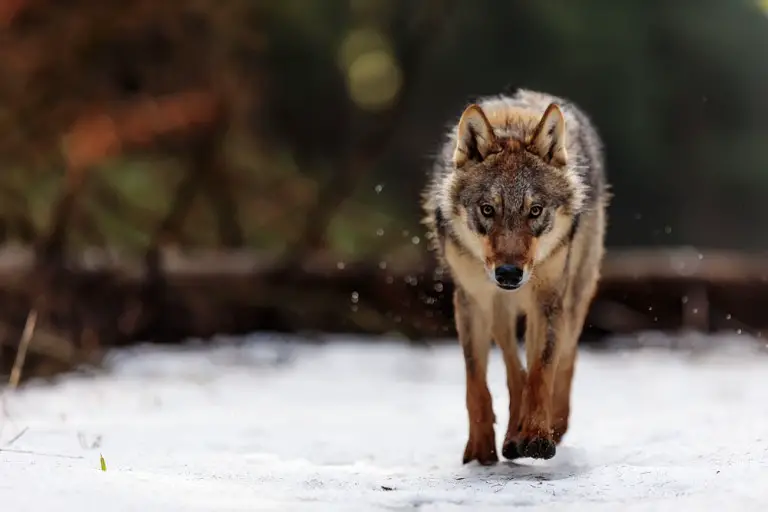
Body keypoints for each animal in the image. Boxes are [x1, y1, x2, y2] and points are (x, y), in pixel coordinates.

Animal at [421, 88, 609, 464]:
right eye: (487, 210)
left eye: (534, 211)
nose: (509, 273)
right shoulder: (472, 300)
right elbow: (477, 382)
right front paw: (481, 448)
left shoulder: (547, 300)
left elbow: (541, 371)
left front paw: (537, 435)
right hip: (499, 309)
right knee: (512, 365)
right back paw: (510, 437)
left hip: (574, 296)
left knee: (566, 357)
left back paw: (552, 426)